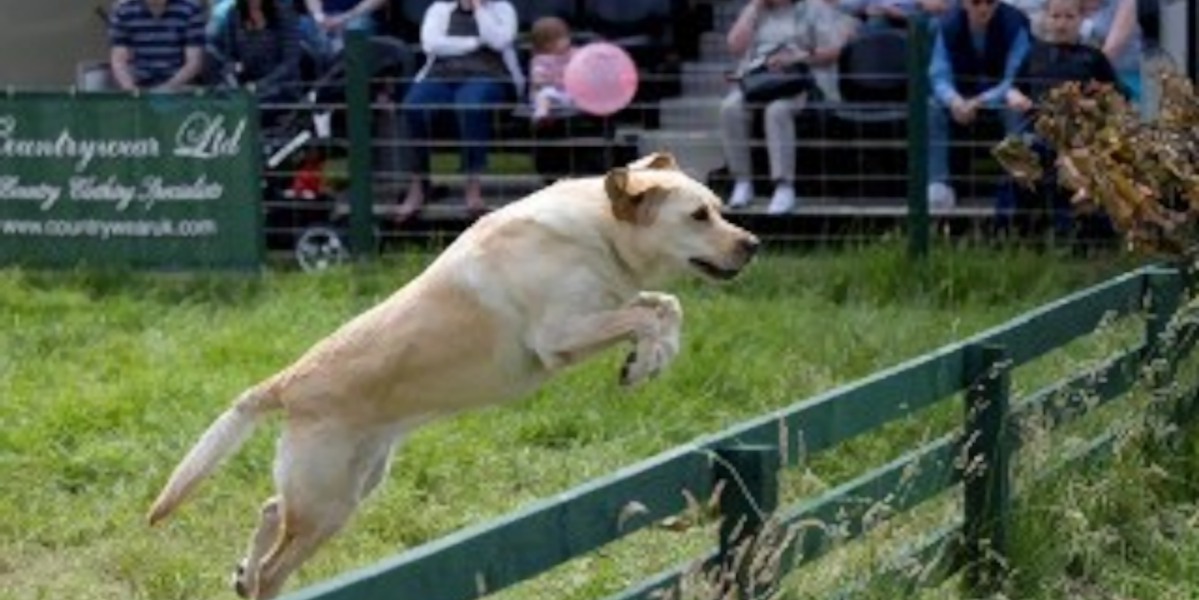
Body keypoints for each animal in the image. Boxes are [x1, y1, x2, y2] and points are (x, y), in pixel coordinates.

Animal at [142, 153, 757, 595]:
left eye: (719, 206)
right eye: (699, 216)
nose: (752, 243)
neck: (598, 233)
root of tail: (288, 382)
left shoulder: (604, 308)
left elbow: (664, 306)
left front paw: (649, 359)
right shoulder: (560, 335)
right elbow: (650, 310)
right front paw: (646, 359)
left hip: (347, 487)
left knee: (271, 510)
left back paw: (241, 574)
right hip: (327, 497)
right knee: (276, 560)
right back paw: (257, 580)